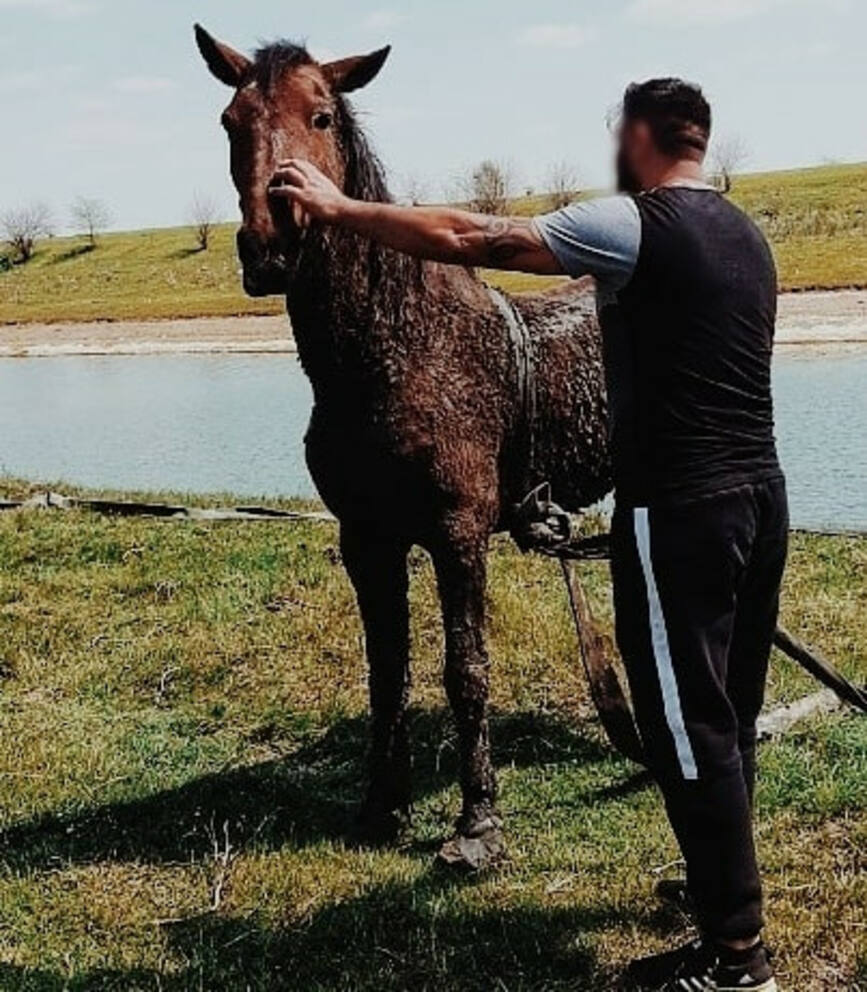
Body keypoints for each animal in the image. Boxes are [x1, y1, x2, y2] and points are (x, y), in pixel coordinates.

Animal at [196, 27, 612, 864]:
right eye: (230, 121)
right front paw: (380, 803)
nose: (269, 246)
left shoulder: (458, 535)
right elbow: (386, 671)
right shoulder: (367, 539)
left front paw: (477, 821)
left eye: (321, 116)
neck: (393, 351)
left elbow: (466, 670)